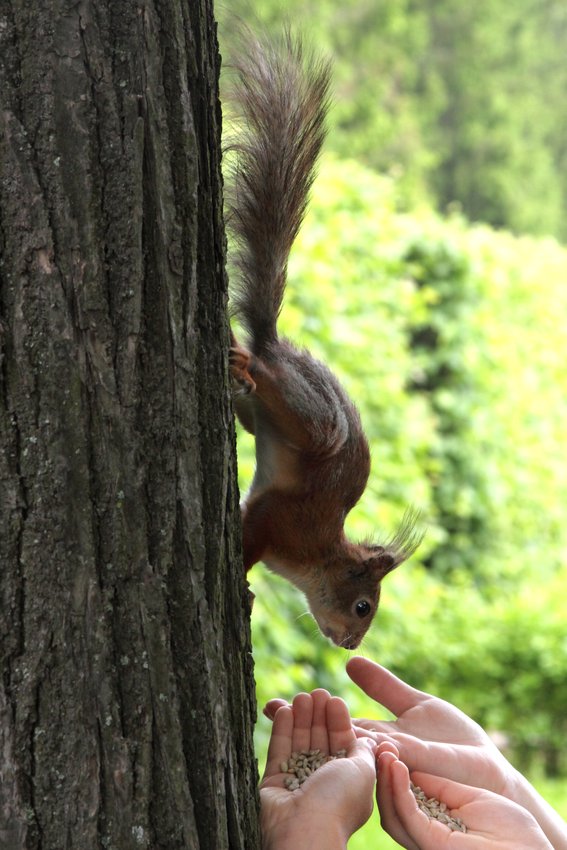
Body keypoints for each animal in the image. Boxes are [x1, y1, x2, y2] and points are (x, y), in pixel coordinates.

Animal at [226, 29, 422, 644]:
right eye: (363, 606)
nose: (349, 642)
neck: (317, 556)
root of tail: (275, 347)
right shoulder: (281, 522)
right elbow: (253, 536)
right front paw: (243, 584)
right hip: (315, 424)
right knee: (271, 384)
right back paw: (246, 366)